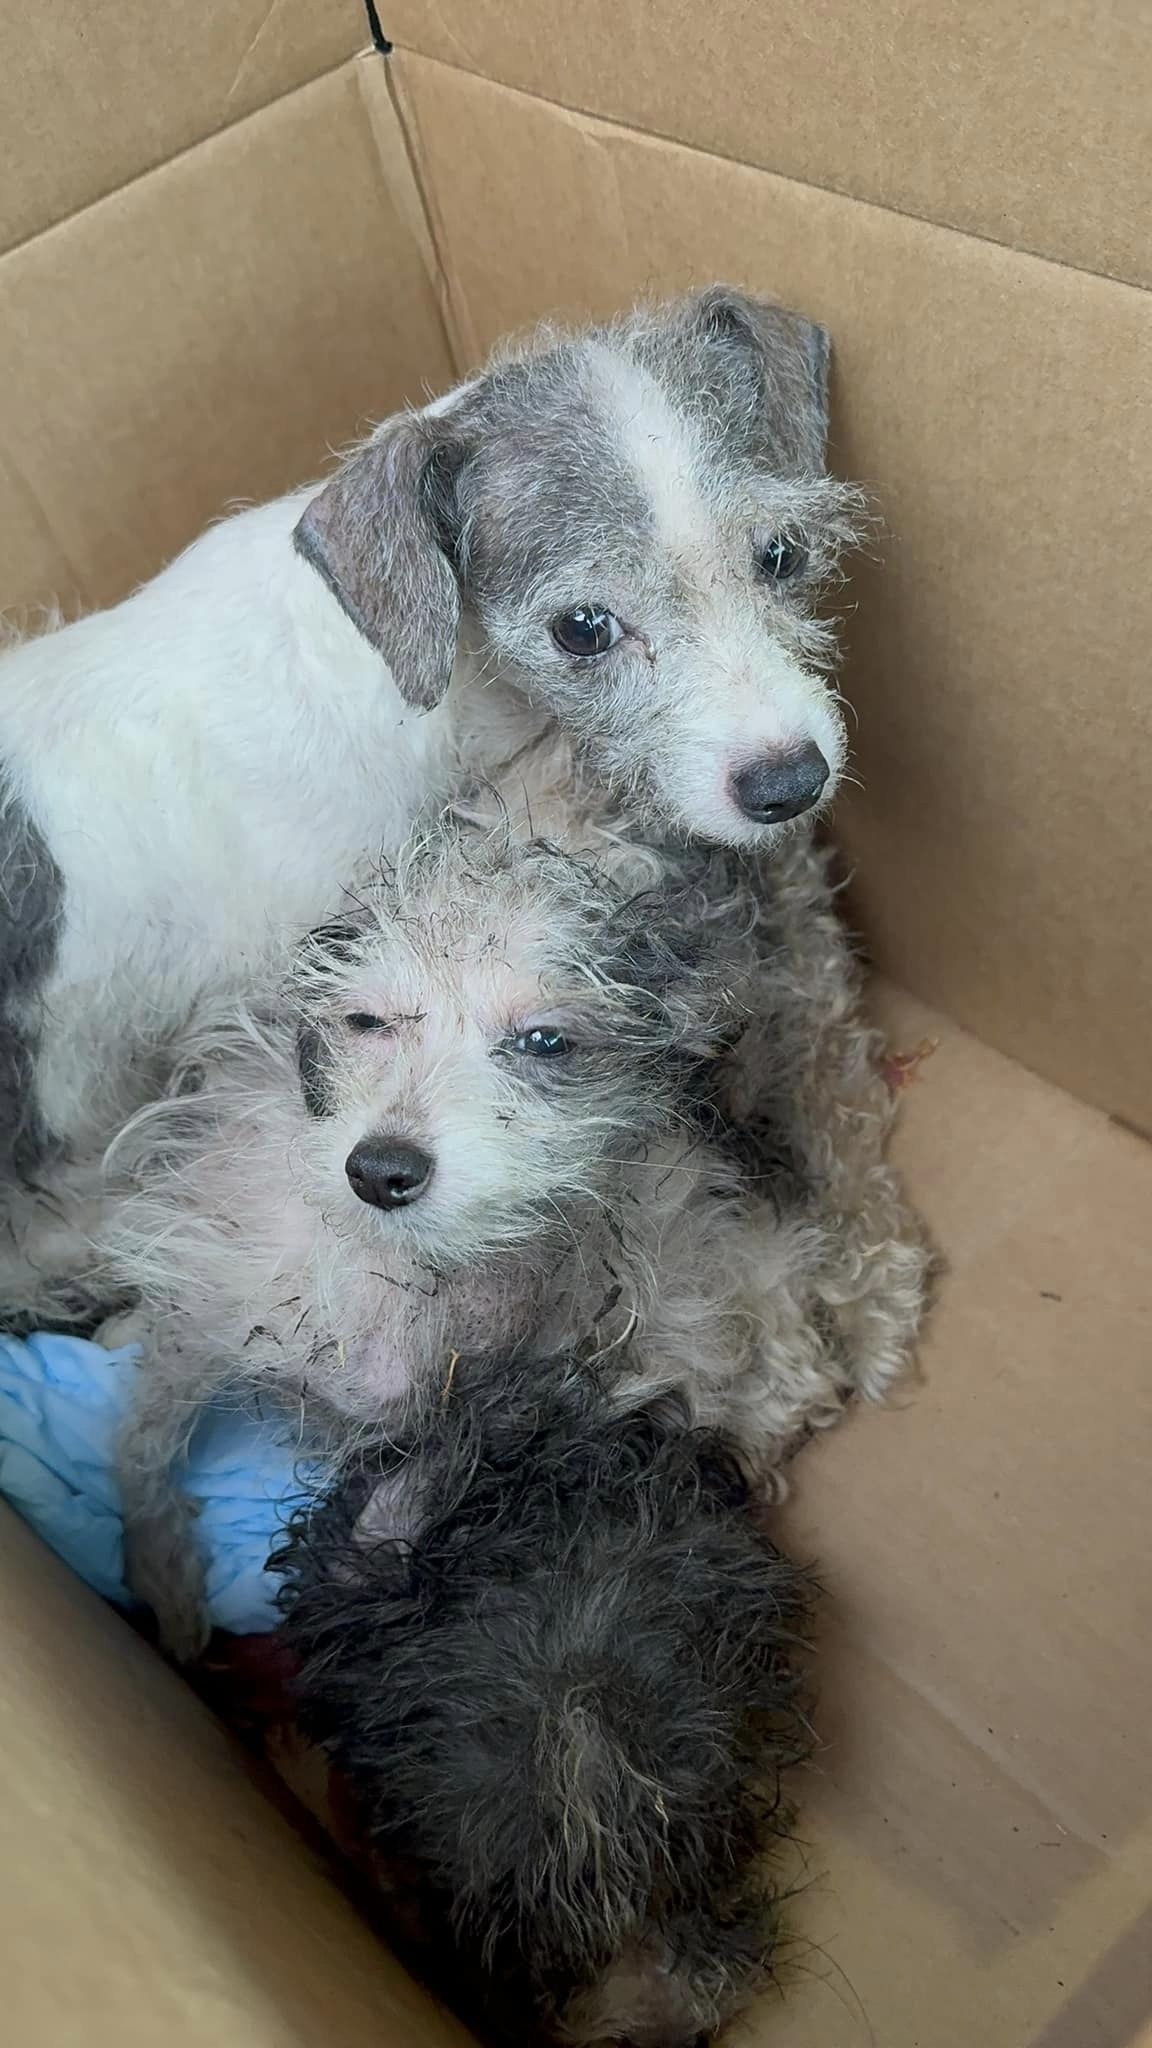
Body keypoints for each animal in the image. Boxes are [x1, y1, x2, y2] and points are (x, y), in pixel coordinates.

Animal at [100, 737, 922, 1662]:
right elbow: (144, 1432)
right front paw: (162, 1571)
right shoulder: (211, 1294)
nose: (380, 1170)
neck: (396, 1273)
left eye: (545, 1040)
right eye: (367, 1022)